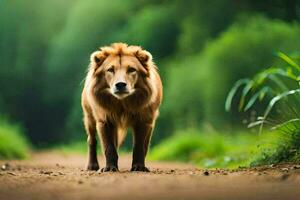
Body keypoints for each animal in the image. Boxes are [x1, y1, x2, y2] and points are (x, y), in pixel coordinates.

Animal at [81, 42, 163, 172]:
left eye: (131, 69)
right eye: (110, 69)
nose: (120, 84)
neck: (122, 104)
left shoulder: (144, 119)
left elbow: (140, 146)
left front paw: (139, 167)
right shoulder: (104, 118)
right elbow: (108, 146)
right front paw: (109, 167)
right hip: (89, 115)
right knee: (91, 139)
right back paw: (92, 166)